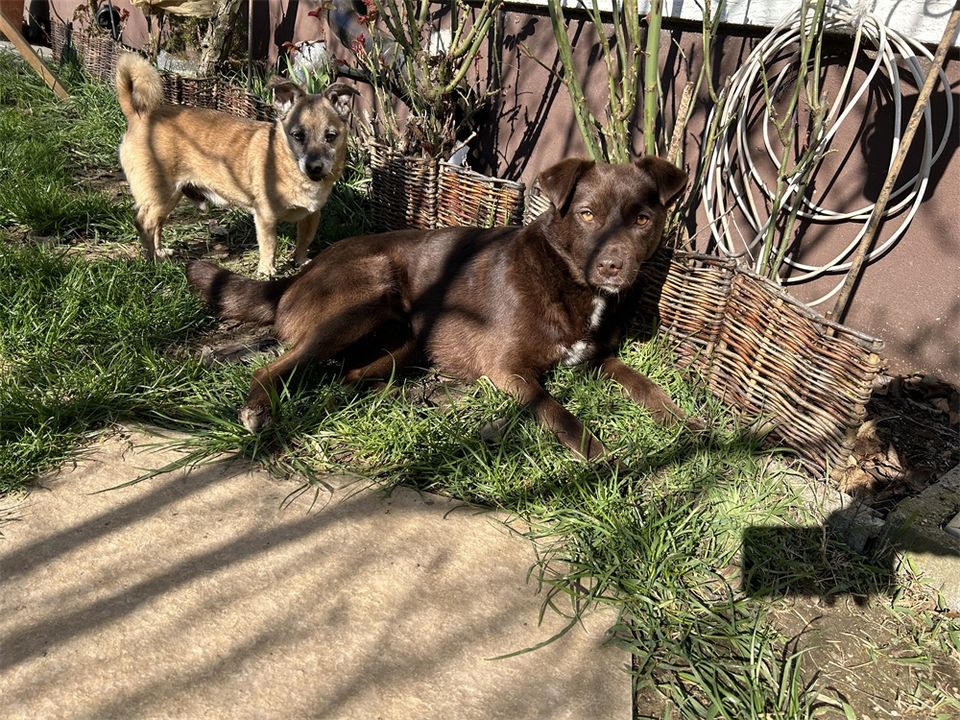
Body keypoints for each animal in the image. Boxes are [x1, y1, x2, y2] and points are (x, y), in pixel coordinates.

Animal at [116, 54, 356, 276]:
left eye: (330, 136)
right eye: (297, 136)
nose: (314, 166)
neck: (291, 168)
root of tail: (139, 116)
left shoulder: (311, 215)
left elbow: (304, 240)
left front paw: (300, 261)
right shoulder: (266, 218)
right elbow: (270, 246)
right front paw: (267, 271)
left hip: (166, 200)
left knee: (156, 225)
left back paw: (160, 252)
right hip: (161, 195)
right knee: (144, 223)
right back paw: (153, 261)